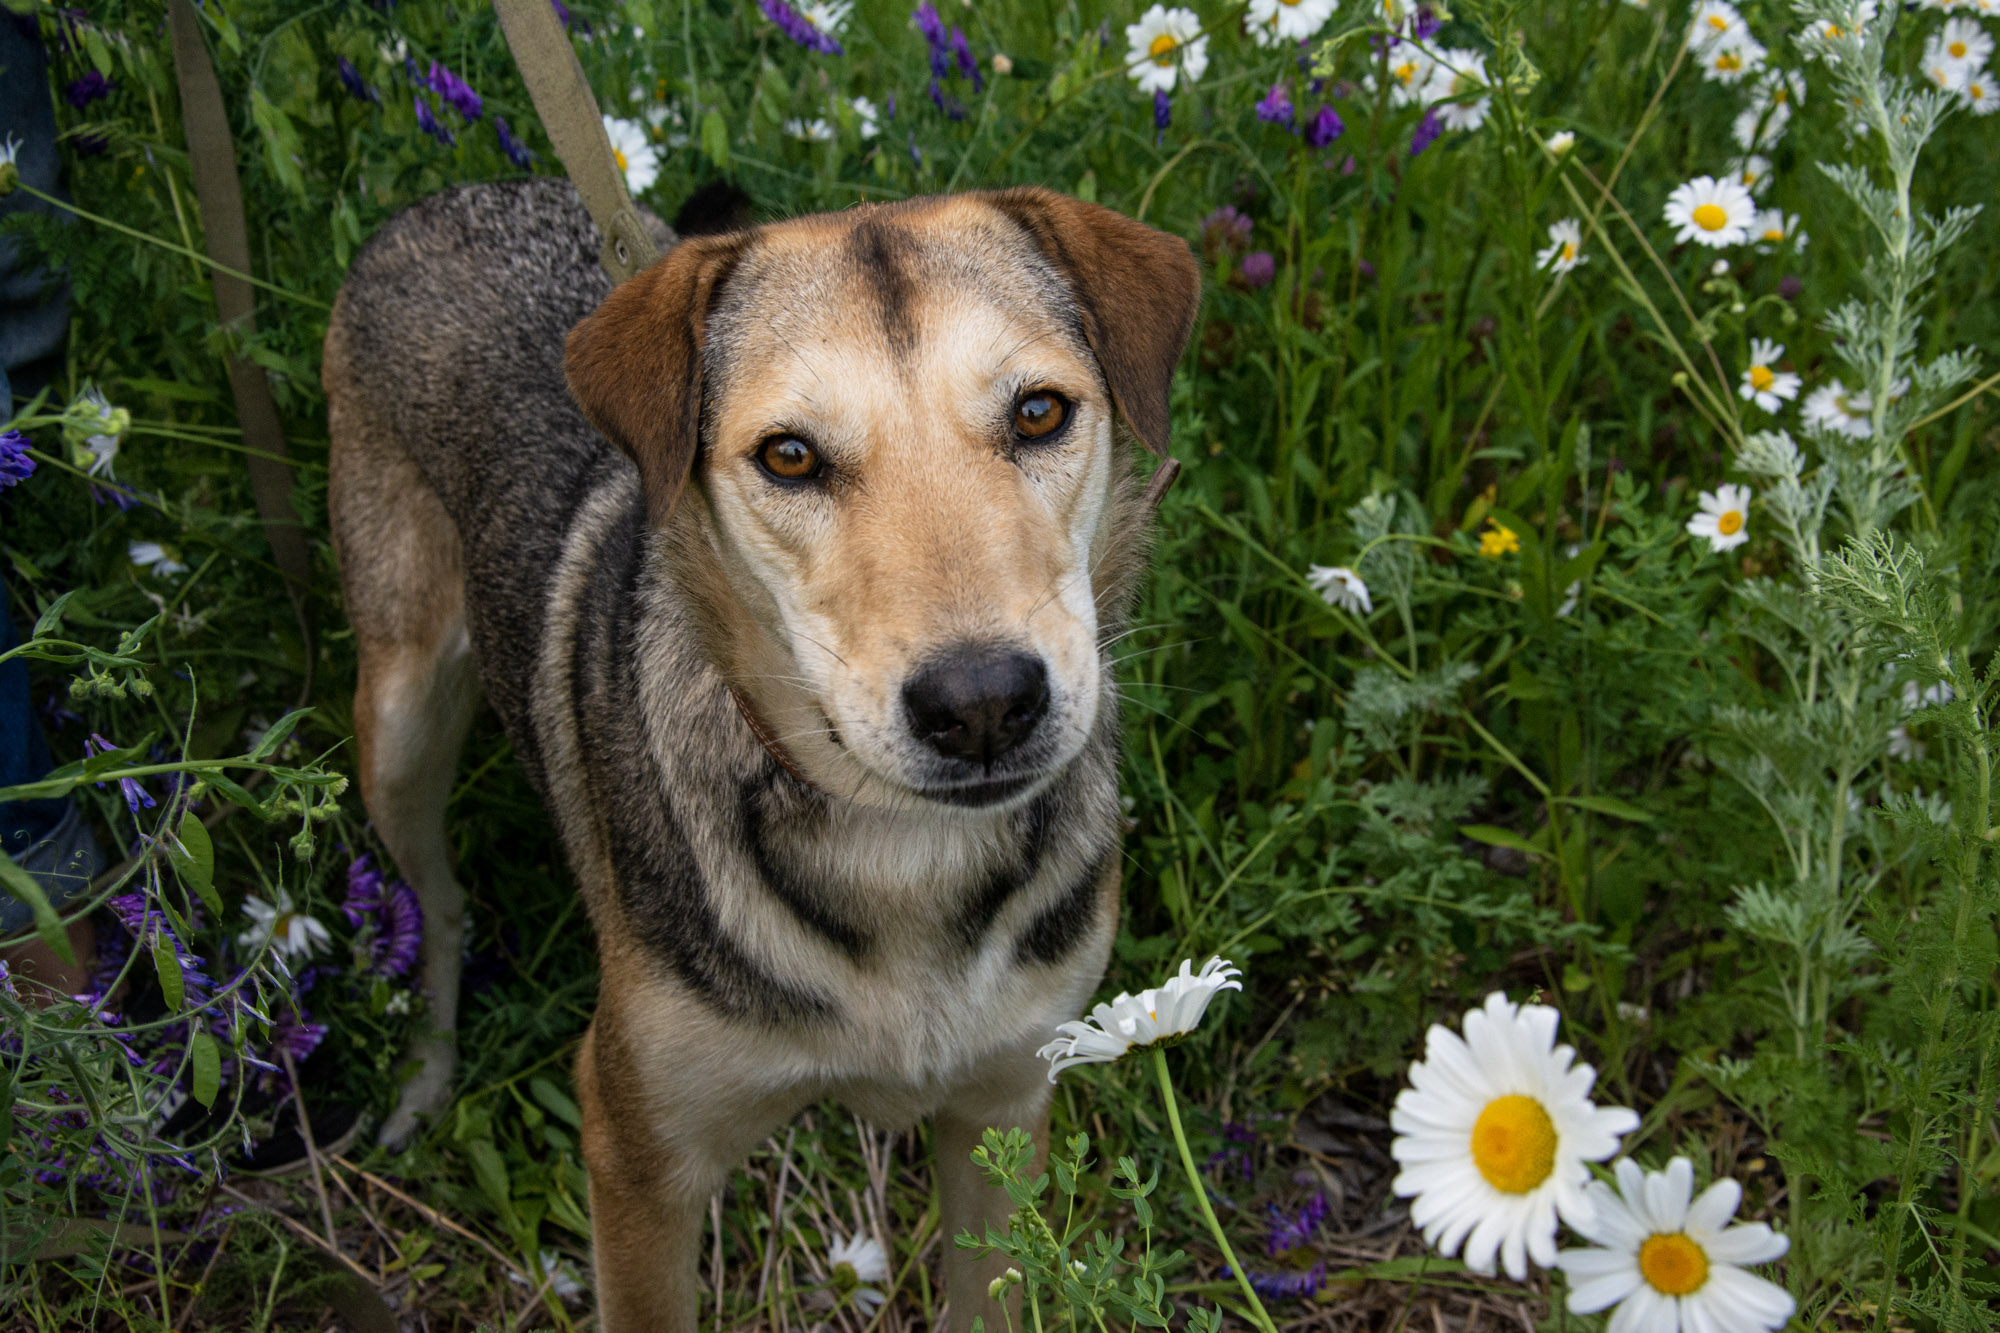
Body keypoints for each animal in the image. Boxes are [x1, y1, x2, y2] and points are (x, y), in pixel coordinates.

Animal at [326, 179, 1192, 1328]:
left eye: (1039, 412)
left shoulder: (1003, 1109)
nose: (982, 705)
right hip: (400, 722)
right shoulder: (639, 1152)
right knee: (438, 901)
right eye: (790, 455)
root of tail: (450, 194)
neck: (899, 850)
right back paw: (422, 1076)